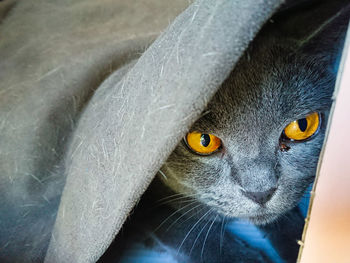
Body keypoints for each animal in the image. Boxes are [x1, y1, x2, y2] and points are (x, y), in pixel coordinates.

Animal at [100, 2, 348, 263]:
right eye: (203, 140)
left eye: (301, 126)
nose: (260, 192)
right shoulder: (141, 204)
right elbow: (186, 228)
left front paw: (293, 243)